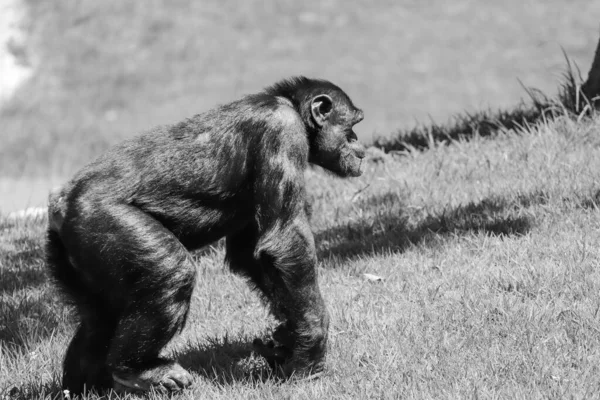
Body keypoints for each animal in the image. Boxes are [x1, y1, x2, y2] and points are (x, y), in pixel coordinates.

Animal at [45, 76, 366, 396]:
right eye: (353, 124)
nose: (359, 145)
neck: (293, 108)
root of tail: (60, 203)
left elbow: (251, 255)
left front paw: (288, 335)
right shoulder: (281, 132)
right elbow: (285, 241)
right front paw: (311, 344)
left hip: (74, 250)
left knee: (98, 319)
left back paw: (85, 387)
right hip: (103, 220)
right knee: (170, 273)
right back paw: (137, 369)